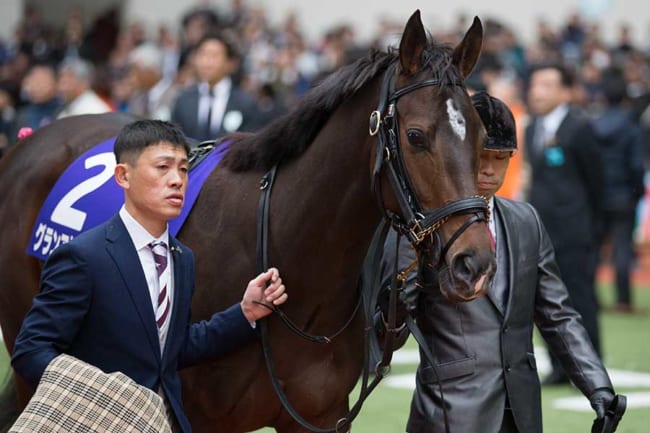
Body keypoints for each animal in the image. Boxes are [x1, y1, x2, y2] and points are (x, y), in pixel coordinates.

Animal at [0, 10, 492, 432]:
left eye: (480, 136)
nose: (475, 263)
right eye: (415, 136)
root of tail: (27, 140)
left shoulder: (317, 417)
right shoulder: (199, 417)